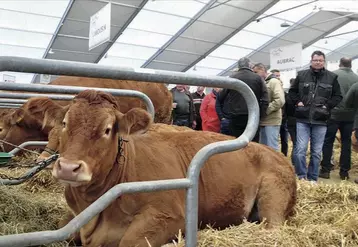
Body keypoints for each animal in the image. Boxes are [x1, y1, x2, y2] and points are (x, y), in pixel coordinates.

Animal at [42, 89, 296, 246]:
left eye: (107, 129)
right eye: (64, 123)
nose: (68, 168)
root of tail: (278, 155)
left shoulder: (170, 216)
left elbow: (130, 241)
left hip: (273, 196)